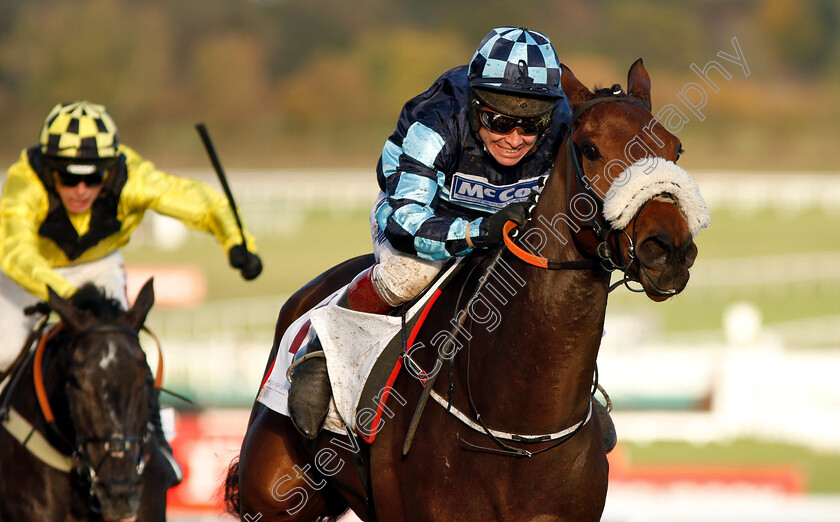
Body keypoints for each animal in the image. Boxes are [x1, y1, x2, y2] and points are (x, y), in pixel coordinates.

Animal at [226, 59, 704, 516]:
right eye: (590, 149)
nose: (668, 249)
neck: (519, 432)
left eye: (675, 149)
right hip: (274, 494)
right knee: (401, 273)